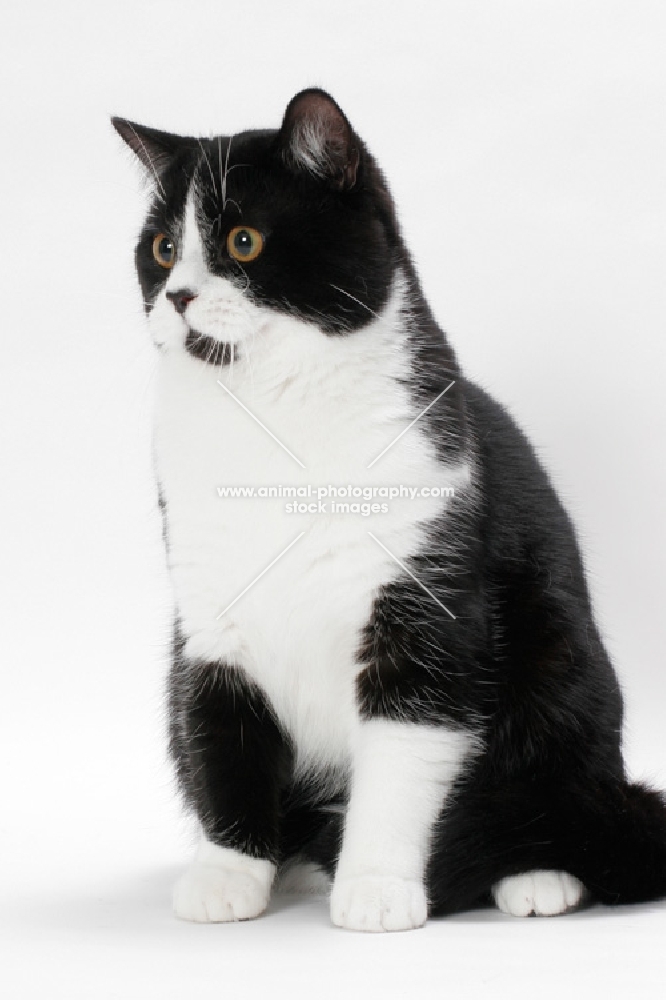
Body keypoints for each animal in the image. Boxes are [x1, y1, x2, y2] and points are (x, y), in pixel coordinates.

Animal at [114, 90, 664, 932]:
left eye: (243, 241)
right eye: (165, 247)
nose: (177, 296)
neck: (270, 418)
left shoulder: (428, 605)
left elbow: (404, 759)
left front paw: (375, 885)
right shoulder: (207, 616)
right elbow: (221, 739)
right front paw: (228, 872)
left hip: (563, 661)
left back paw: (536, 877)